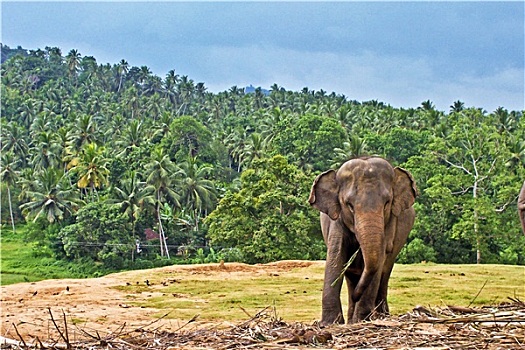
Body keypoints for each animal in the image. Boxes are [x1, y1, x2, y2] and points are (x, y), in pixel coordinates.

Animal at [310, 157, 416, 324]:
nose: (356, 296)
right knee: (352, 277)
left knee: (384, 273)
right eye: (349, 205)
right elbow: (336, 256)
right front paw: (329, 323)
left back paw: (378, 316)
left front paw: (361, 319)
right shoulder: (337, 220)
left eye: (387, 203)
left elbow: (379, 259)